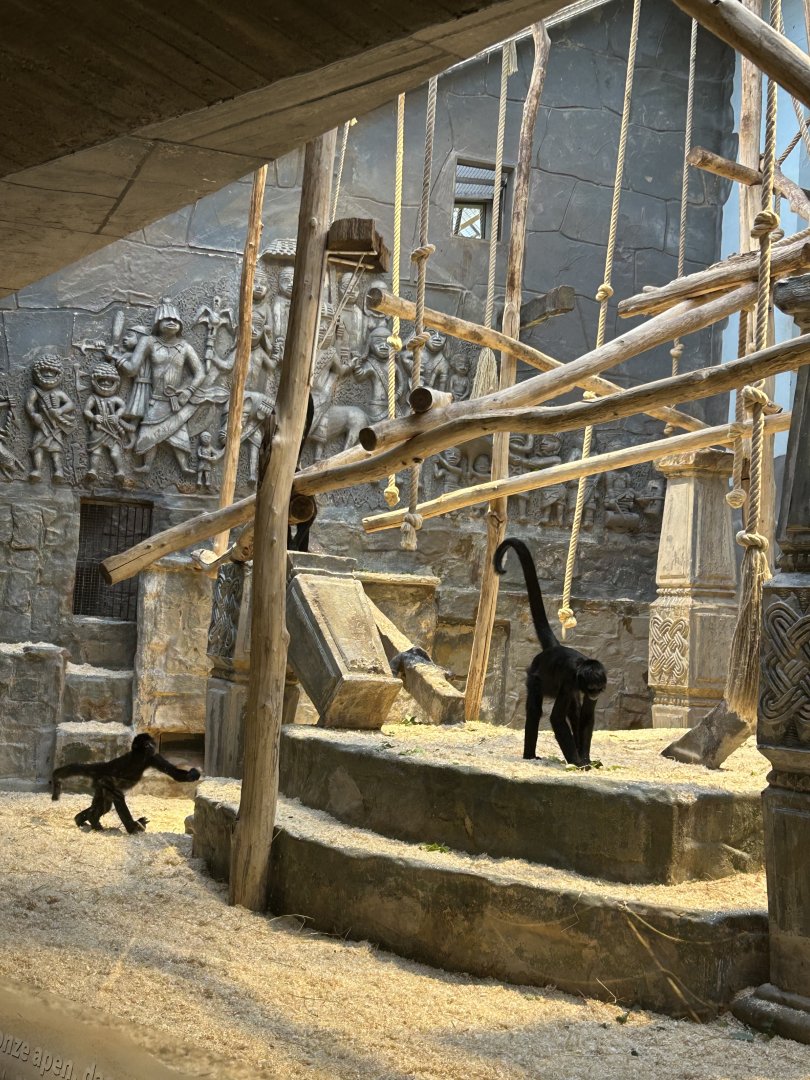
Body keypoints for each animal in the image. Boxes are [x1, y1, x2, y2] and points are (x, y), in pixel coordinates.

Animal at [51, 733, 201, 833]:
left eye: (151, 743)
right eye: (146, 744)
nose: (152, 746)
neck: (138, 758)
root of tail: (103, 766)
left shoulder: (152, 757)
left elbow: (174, 773)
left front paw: (192, 774)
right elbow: (117, 793)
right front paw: (134, 828)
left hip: (100, 787)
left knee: (105, 805)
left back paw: (82, 820)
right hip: (102, 782)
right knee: (114, 797)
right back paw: (126, 827)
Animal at [494, 538, 607, 768]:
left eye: (599, 688)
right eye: (593, 688)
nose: (595, 694)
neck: (581, 668)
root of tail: (554, 648)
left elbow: (586, 717)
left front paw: (586, 759)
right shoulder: (570, 679)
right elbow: (555, 718)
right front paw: (578, 763)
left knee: (574, 710)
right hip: (535, 677)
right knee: (535, 710)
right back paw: (529, 755)